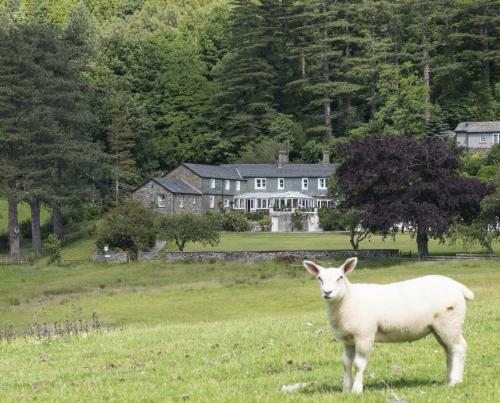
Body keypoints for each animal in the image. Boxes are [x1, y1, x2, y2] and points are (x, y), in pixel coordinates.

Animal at [302, 258, 474, 394]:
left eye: (340, 277)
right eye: (319, 278)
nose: (327, 292)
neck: (348, 299)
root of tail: (457, 286)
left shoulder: (364, 336)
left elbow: (358, 364)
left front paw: (357, 390)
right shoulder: (348, 340)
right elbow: (346, 363)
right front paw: (345, 390)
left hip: (450, 322)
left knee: (459, 347)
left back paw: (455, 382)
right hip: (440, 327)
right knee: (449, 351)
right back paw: (449, 379)